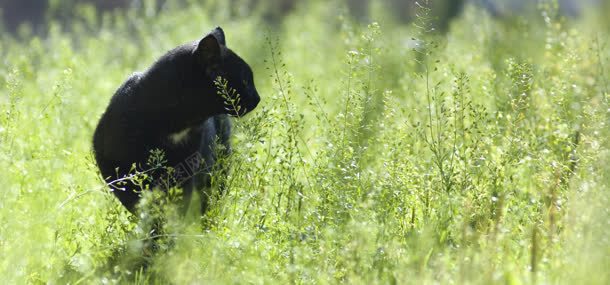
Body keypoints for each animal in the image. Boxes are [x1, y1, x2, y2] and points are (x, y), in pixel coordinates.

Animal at [92, 27, 258, 213]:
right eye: (245, 81)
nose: (257, 98)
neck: (174, 125)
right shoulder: (116, 169)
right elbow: (138, 202)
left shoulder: (184, 171)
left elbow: (177, 206)